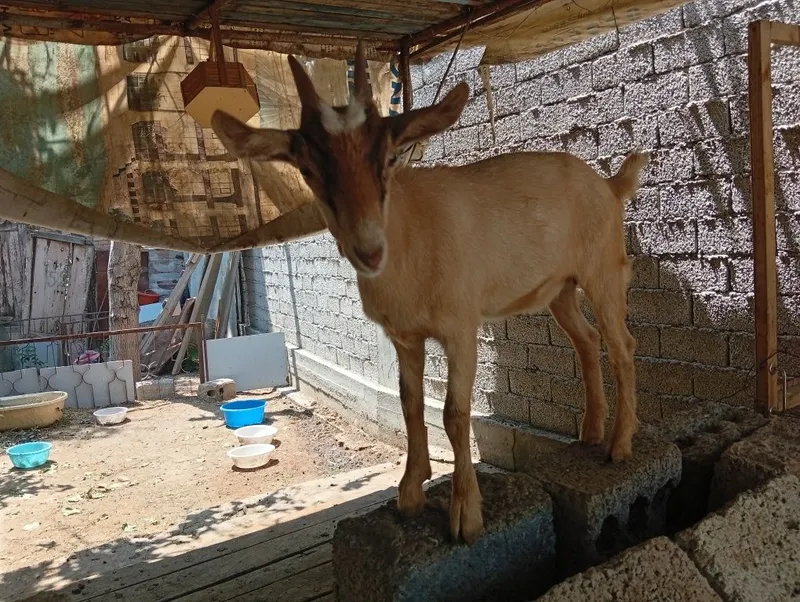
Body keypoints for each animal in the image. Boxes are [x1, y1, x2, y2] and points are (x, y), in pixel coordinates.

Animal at [210, 43, 650, 545]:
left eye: (388, 159)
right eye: (308, 169)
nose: (368, 249)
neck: (409, 235)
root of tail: (610, 185)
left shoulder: (461, 327)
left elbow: (455, 414)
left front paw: (466, 516)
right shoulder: (405, 338)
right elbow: (410, 404)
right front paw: (410, 491)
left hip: (603, 269)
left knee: (622, 344)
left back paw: (619, 445)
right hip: (559, 288)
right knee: (587, 341)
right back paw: (591, 432)